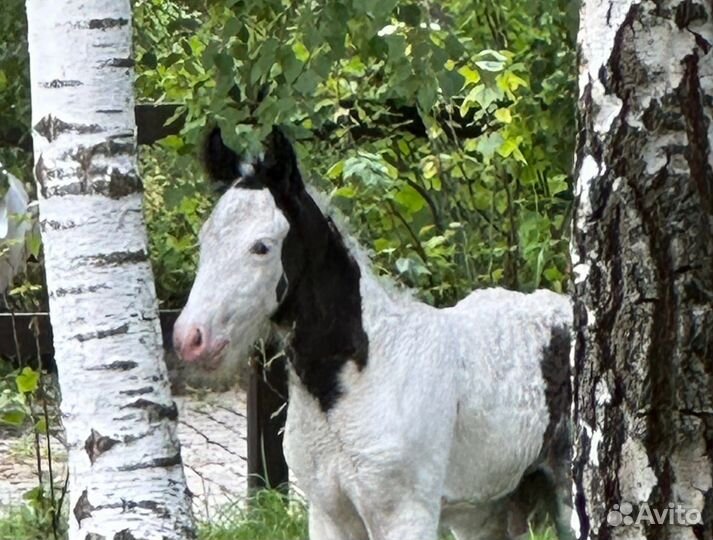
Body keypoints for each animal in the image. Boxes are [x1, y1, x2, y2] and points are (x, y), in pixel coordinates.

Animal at [175, 127, 576, 540]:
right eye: (204, 239)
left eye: (261, 247)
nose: (191, 338)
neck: (362, 370)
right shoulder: (329, 513)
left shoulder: (406, 515)